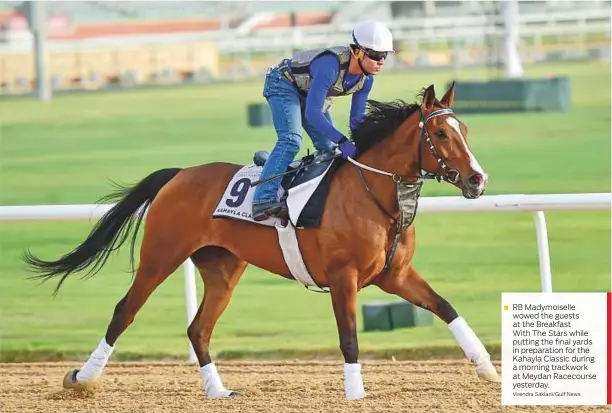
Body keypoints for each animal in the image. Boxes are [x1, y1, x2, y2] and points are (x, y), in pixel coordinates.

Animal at [25, 83, 502, 400]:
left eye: (464, 130)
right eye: (440, 134)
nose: (478, 179)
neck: (372, 194)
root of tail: (179, 174)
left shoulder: (394, 275)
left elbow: (446, 308)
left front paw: (488, 370)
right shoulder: (343, 277)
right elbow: (349, 337)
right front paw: (355, 395)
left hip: (222, 268)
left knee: (198, 328)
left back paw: (218, 391)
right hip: (160, 257)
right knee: (125, 311)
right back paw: (83, 378)